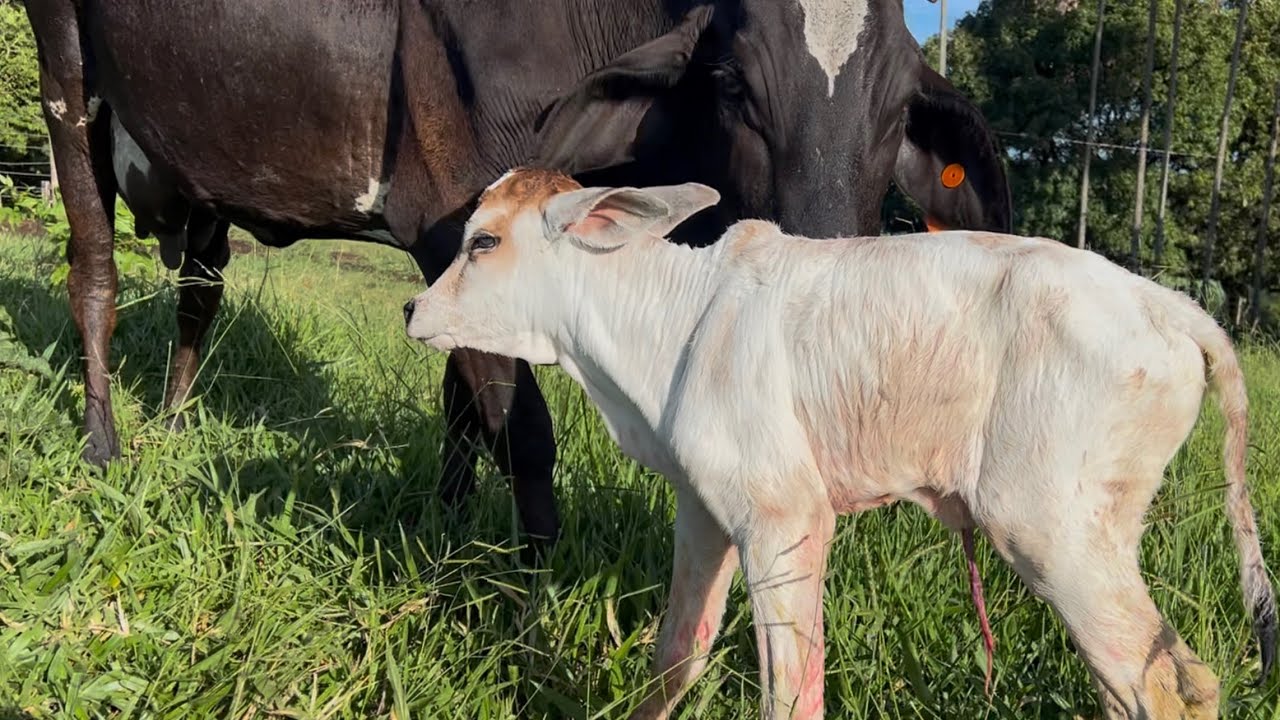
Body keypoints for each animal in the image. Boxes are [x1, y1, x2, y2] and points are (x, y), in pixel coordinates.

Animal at [24, 0, 1012, 553]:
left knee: (199, 293)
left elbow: (464, 400)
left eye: (902, 107)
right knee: (93, 268)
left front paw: (449, 529)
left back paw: (174, 422)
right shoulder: (445, 205)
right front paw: (527, 613)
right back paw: (104, 446)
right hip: (65, 75)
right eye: (732, 82)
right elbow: (521, 427)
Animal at [403, 168, 1276, 720]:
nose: (413, 308)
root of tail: (1164, 304)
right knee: (1148, 681)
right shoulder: (704, 510)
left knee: (1165, 685)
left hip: (1048, 530)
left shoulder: (784, 517)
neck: (671, 324)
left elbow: (790, 692)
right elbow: (677, 654)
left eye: (483, 243)